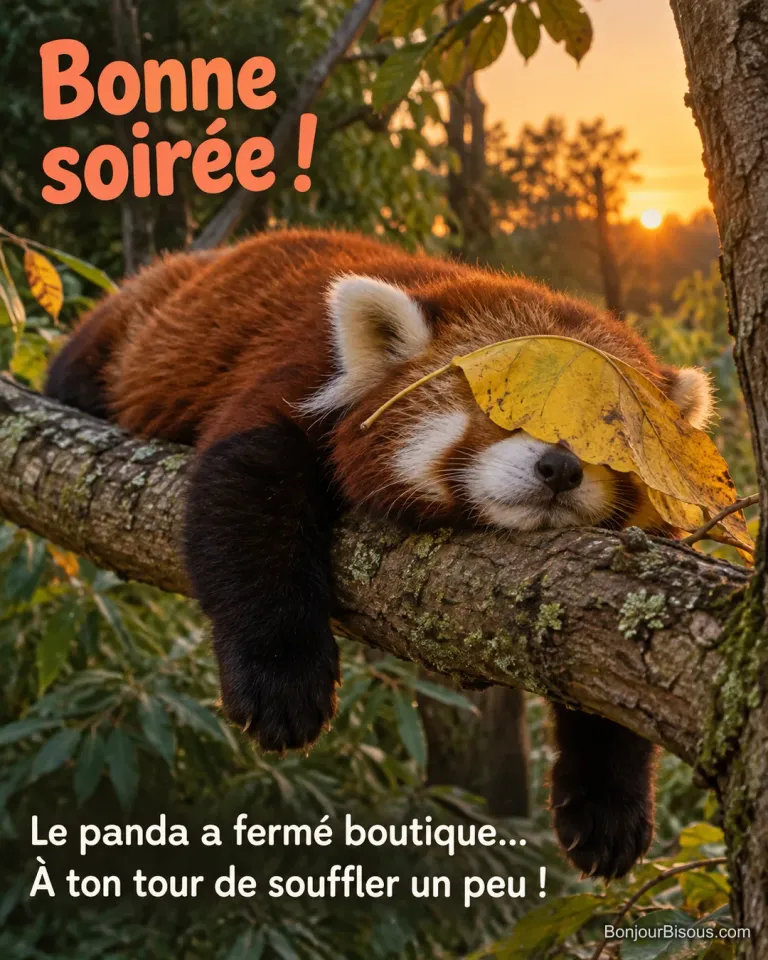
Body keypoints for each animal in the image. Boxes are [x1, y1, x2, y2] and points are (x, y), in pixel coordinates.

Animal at [45, 228, 713, 880]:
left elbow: (613, 677)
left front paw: (608, 806)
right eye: (502, 413)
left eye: (604, 438)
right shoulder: (300, 371)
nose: (560, 469)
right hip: (137, 320)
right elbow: (248, 491)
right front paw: (282, 683)